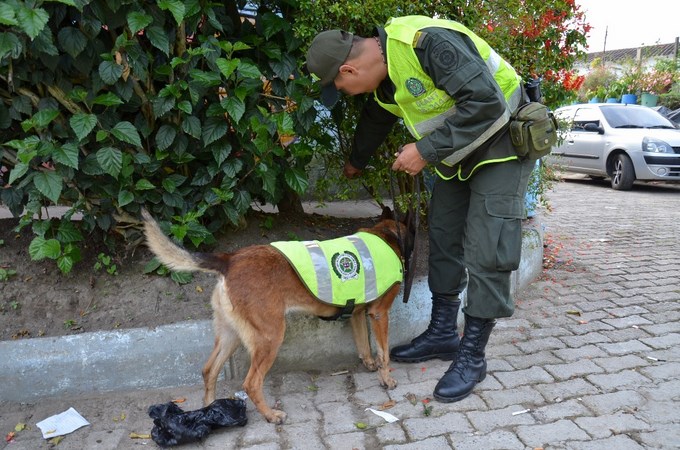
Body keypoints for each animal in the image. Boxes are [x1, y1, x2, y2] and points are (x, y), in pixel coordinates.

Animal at [141, 209, 412, 424]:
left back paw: (211, 411)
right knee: (251, 383)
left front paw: (369, 364)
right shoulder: (379, 314)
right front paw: (386, 379)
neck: (385, 236)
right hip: (270, 337)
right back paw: (270, 415)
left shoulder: (356, 313)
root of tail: (230, 260)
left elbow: (364, 344)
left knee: (209, 370)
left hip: (231, 335)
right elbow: (384, 352)